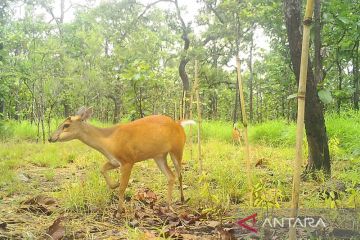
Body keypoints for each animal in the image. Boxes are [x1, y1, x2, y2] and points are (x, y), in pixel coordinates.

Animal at [48, 107, 195, 218]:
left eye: (66, 125)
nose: (50, 138)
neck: (108, 141)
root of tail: (178, 124)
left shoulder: (128, 160)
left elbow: (122, 188)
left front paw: (119, 211)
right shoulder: (115, 161)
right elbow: (102, 169)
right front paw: (115, 184)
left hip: (177, 149)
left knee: (179, 174)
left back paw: (181, 199)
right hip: (159, 156)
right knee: (171, 176)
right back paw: (168, 205)